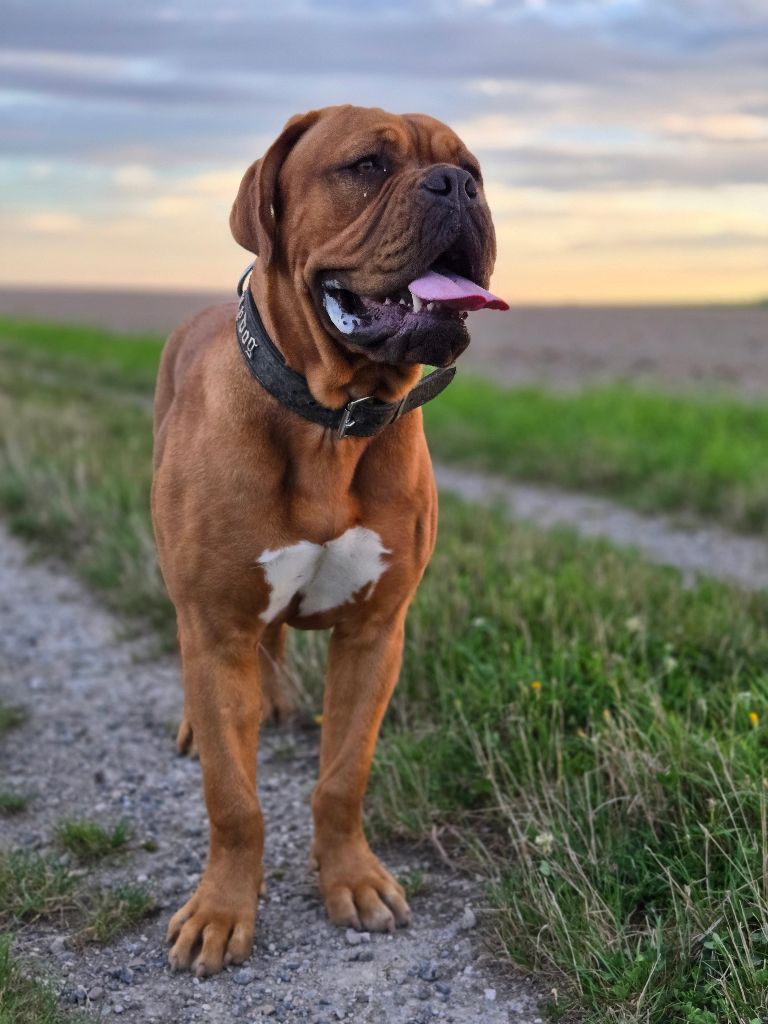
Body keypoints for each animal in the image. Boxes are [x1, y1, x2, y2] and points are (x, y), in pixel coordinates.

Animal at [151, 103, 505, 974]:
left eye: (473, 169)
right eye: (368, 165)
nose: (455, 187)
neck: (329, 421)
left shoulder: (375, 633)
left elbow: (344, 776)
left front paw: (353, 880)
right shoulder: (214, 624)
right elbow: (232, 797)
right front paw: (221, 911)